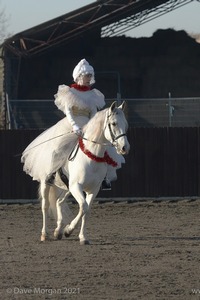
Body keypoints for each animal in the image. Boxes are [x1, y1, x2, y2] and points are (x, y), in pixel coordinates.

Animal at [39, 101, 130, 244]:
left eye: (125, 124)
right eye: (114, 123)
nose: (125, 148)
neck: (91, 156)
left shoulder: (92, 189)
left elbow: (87, 211)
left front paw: (82, 237)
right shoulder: (77, 186)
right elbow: (83, 207)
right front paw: (69, 230)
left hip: (68, 187)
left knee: (59, 201)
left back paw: (58, 231)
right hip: (47, 183)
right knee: (45, 205)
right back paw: (45, 234)